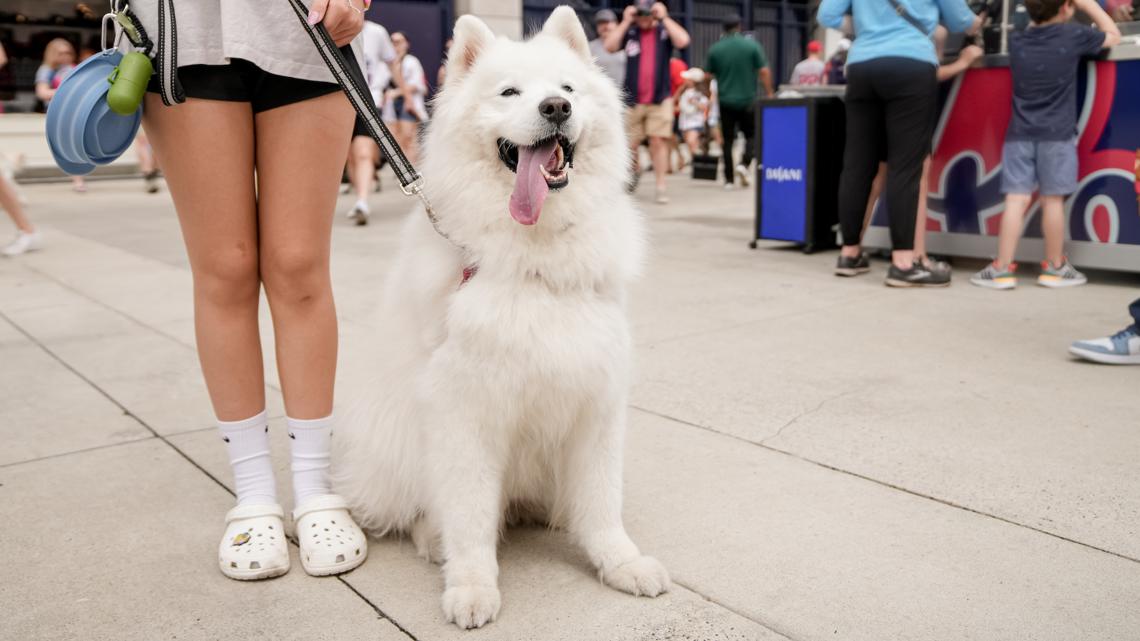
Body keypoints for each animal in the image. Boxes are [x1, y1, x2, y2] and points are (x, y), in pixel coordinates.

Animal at [330, 6, 665, 629]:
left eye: (567, 89)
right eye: (509, 92)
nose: (555, 109)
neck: (535, 257)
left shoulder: (596, 400)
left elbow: (602, 502)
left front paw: (621, 563)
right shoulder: (466, 413)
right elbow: (468, 517)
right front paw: (471, 587)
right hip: (401, 439)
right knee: (422, 508)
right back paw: (431, 538)